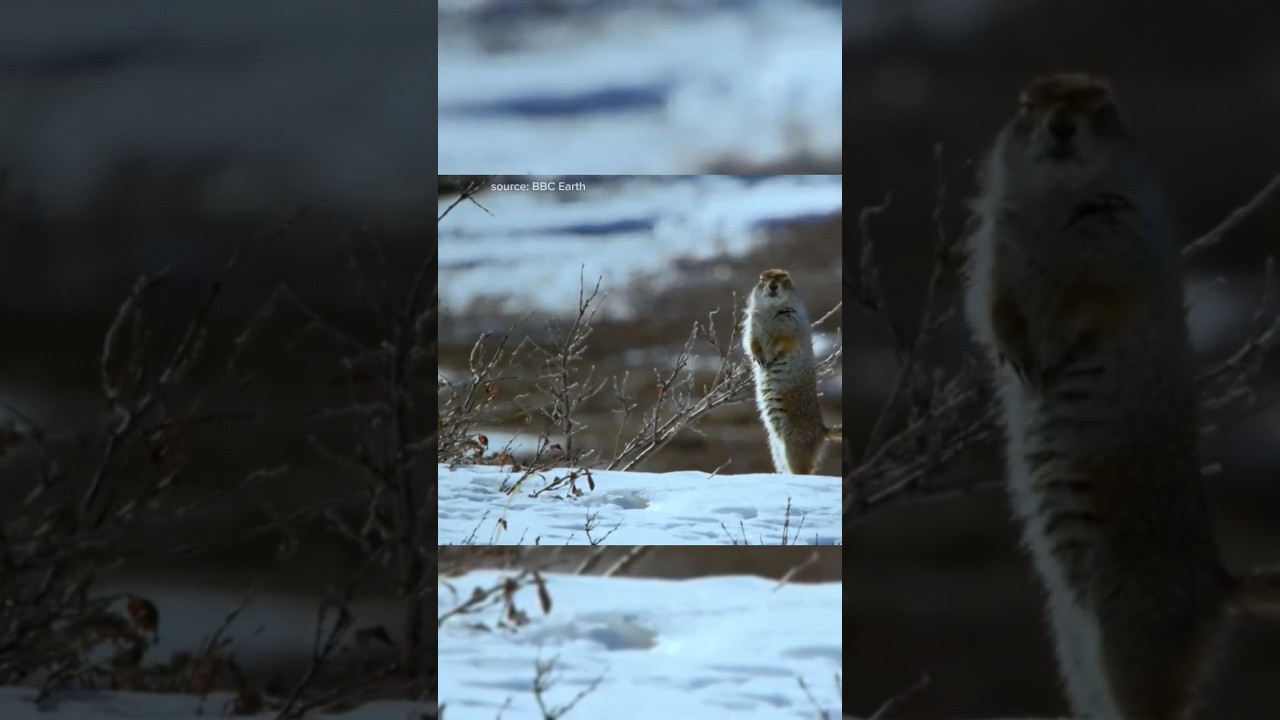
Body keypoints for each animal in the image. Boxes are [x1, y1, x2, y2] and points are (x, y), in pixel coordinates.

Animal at [743, 268, 841, 475]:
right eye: (762, 279)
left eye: (786, 279)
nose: (772, 286)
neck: (771, 310)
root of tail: (822, 431)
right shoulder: (751, 323)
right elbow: (751, 341)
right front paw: (758, 358)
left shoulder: (790, 323)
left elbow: (783, 341)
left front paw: (771, 356)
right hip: (776, 450)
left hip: (795, 447)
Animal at [964, 73, 1280, 719]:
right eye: (1026, 104)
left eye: (1103, 105)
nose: (1061, 126)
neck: (1057, 203)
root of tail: (1218, 584)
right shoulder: (997, 244)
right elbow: (995, 304)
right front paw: (1019, 356)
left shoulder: (1117, 244)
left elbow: (1092, 301)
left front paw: (1051, 353)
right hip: (1077, 655)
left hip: (1134, 642)